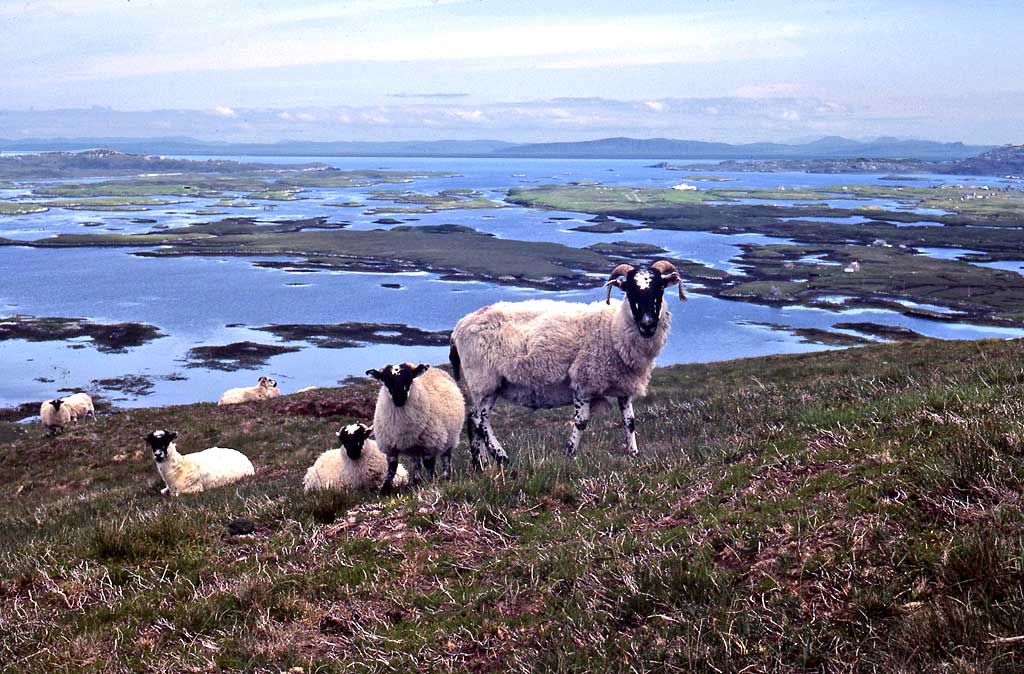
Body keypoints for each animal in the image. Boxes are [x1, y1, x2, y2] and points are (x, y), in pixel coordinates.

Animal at [450, 260, 686, 465]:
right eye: (630, 290)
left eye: (660, 288)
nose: (647, 324)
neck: (613, 328)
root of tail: (459, 326)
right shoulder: (583, 381)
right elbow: (581, 422)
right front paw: (569, 453)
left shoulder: (623, 385)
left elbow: (630, 421)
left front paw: (633, 453)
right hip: (484, 381)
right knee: (480, 421)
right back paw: (501, 457)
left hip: (489, 385)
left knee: (473, 421)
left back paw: (481, 465)